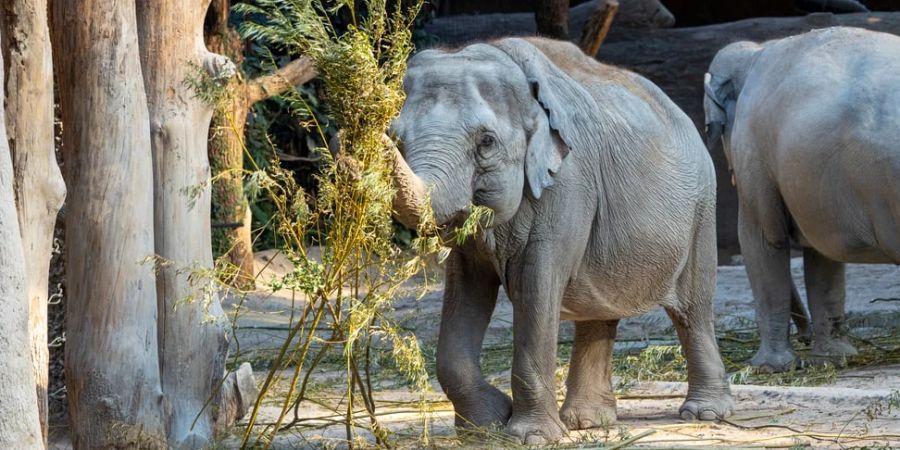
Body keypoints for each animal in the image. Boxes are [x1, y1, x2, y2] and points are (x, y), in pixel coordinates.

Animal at [386, 37, 732, 444]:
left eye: (486, 142)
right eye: (396, 137)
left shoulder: (567, 185)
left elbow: (536, 288)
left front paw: (530, 437)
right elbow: (465, 290)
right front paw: (486, 426)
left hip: (702, 211)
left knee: (693, 309)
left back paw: (705, 413)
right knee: (600, 311)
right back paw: (588, 422)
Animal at [704, 27, 900, 372]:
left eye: (708, 127)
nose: (804, 336)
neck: (756, 50)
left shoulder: (753, 152)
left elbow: (760, 239)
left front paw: (768, 367)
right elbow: (823, 258)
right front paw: (833, 357)